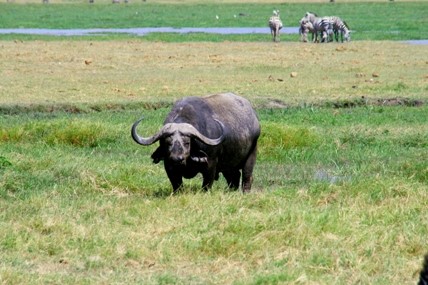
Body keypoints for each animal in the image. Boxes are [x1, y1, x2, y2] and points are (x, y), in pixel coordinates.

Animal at [131, 92, 260, 192]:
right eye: (168, 143)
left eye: (187, 143)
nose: (177, 159)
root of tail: (254, 118)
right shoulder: (169, 166)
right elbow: (177, 185)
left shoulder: (211, 164)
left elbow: (206, 185)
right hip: (229, 165)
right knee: (234, 178)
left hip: (251, 155)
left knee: (247, 177)